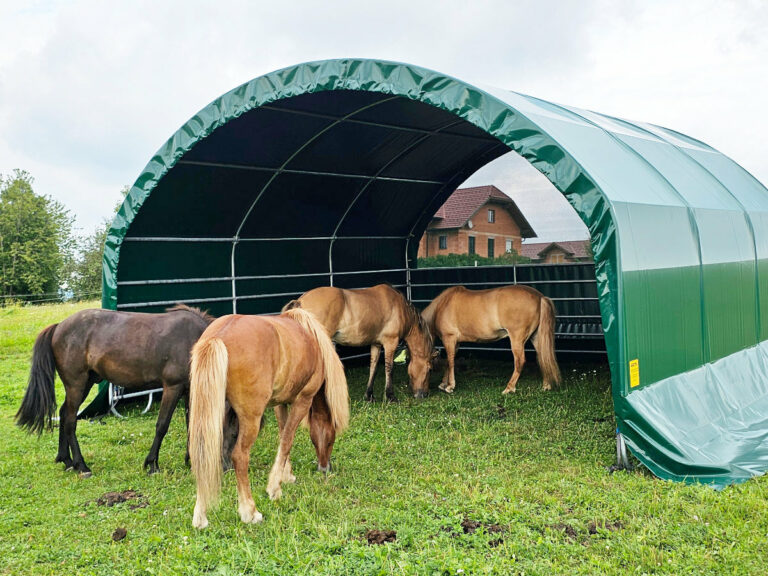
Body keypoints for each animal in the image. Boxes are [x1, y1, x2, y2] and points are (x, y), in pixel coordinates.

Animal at [15, 304, 213, 474]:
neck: (195, 341)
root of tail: (58, 327)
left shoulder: (190, 390)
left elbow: (192, 424)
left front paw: (191, 461)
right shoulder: (173, 387)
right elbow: (162, 425)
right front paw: (152, 464)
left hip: (84, 384)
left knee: (64, 414)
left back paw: (67, 461)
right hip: (76, 385)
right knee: (70, 419)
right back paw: (81, 465)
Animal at [284, 284, 438, 400]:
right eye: (430, 369)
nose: (424, 394)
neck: (401, 308)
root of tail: (300, 301)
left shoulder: (376, 344)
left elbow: (373, 368)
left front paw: (369, 395)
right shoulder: (390, 343)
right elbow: (389, 369)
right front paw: (390, 397)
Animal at [424, 284, 560, 394]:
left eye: (429, 369)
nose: (422, 393)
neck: (442, 305)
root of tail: (540, 297)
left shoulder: (449, 338)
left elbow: (450, 361)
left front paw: (450, 386)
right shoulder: (455, 343)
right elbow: (448, 361)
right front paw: (443, 384)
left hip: (517, 339)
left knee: (520, 361)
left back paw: (509, 388)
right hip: (535, 337)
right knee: (542, 356)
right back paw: (546, 385)